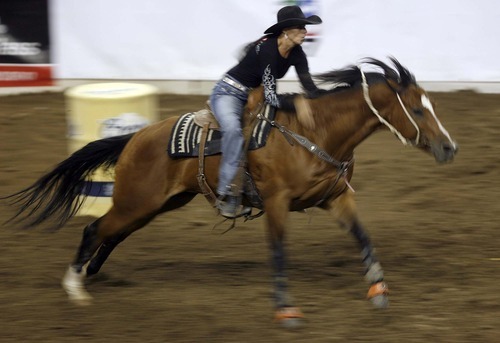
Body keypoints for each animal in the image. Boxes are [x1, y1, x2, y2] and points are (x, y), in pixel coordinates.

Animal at [2, 57, 458, 330]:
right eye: (418, 109)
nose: (449, 148)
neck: (315, 133)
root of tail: (135, 138)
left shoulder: (336, 197)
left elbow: (363, 236)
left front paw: (379, 291)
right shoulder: (277, 204)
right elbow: (279, 251)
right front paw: (285, 309)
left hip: (155, 204)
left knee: (111, 233)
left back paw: (90, 273)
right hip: (139, 201)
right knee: (95, 229)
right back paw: (75, 287)